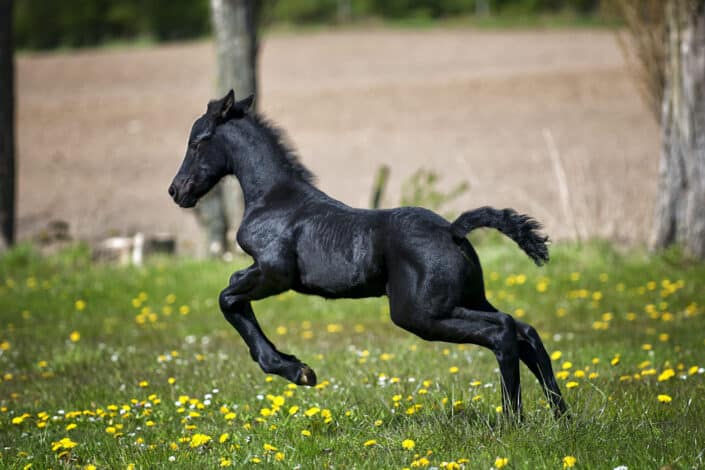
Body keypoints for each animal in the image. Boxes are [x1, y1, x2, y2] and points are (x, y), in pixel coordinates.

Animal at [166, 90, 568, 416]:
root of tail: (453, 230)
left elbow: (228, 297)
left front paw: (297, 371)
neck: (275, 199)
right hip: (464, 299)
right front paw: (295, 367)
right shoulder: (264, 273)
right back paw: (560, 417)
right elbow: (232, 295)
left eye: (197, 142)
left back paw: (513, 420)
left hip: (421, 313)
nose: (176, 191)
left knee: (503, 331)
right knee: (525, 330)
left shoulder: (274, 273)